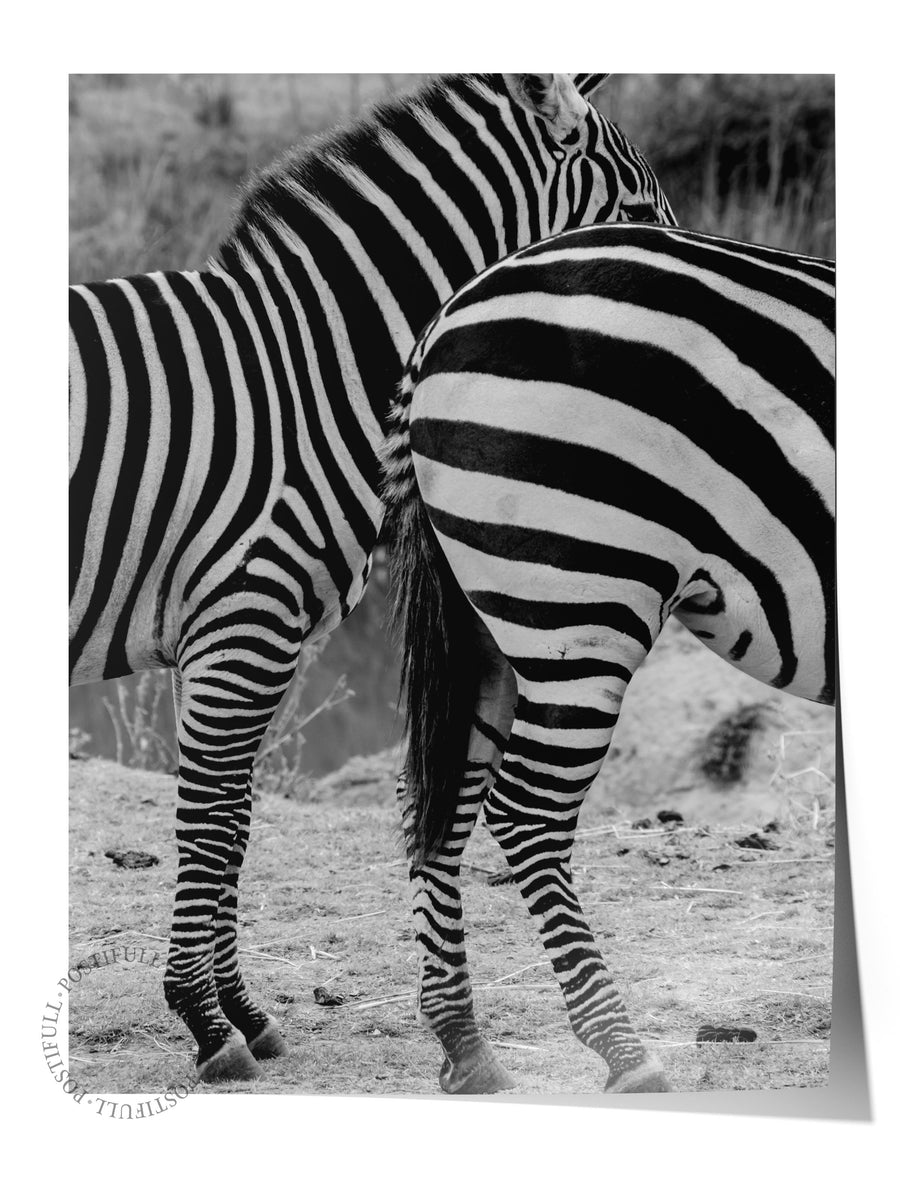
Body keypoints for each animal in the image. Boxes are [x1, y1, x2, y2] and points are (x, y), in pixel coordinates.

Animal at [69, 73, 676, 1084]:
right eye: (633, 214)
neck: (310, 374)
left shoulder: (262, 636)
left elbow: (236, 818)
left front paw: (242, 1012)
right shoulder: (246, 618)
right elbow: (211, 819)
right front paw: (205, 1023)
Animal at [382, 221, 835, 1094]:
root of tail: (447, 312)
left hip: (489, 617)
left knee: (439, 800)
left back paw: (465, 1044)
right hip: (582, 595)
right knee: (526, 811)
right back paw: (622, 1050)